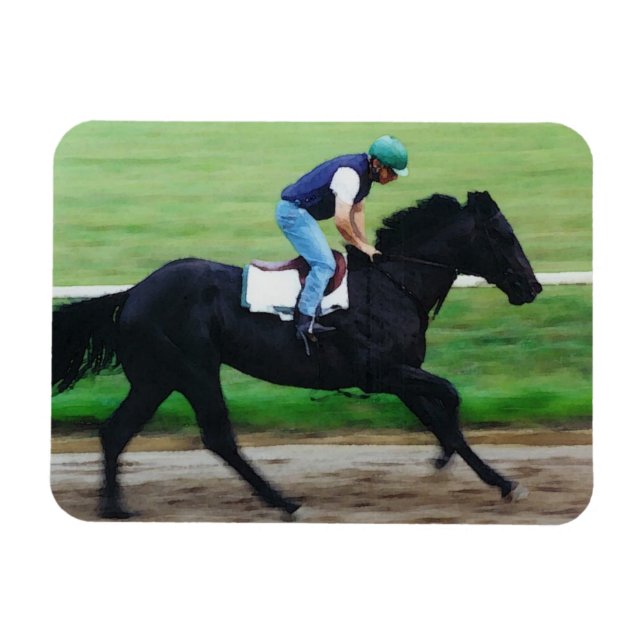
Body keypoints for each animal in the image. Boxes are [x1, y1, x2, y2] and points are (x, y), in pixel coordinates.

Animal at [52, 191, 542, 519]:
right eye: (503, 234)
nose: (532, 287)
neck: (392, 285)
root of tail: (133, 293)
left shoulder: (398, 375)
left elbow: (440, 421)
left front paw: (490, 478)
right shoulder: (385, 372)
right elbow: (451, 399)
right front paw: (480, 473)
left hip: (157, 378)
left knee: (115, 432)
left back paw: (114, 506)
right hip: (194, 370)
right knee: (219, 438)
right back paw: (286, 502)